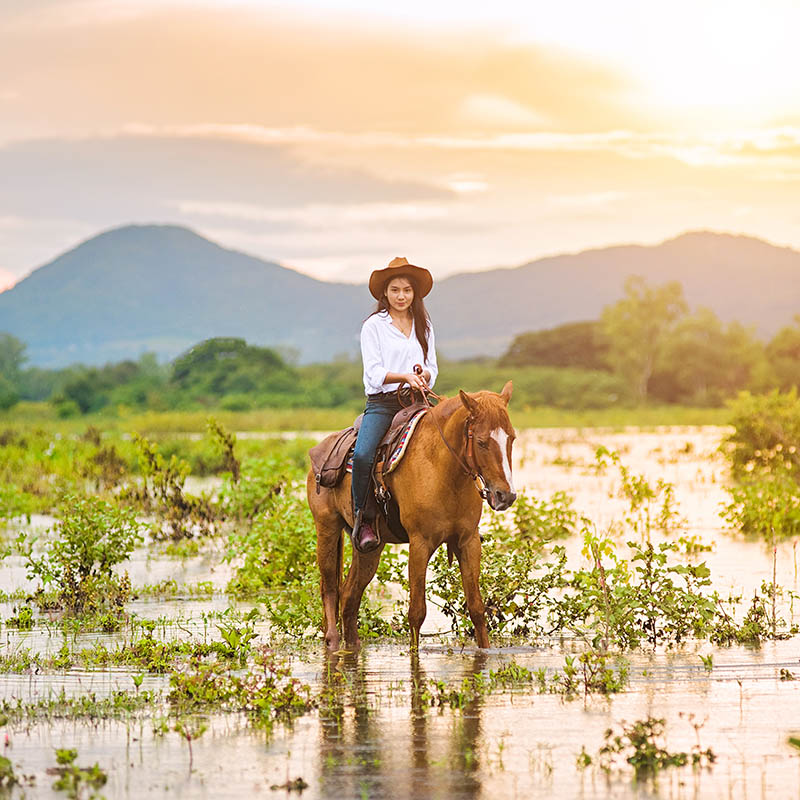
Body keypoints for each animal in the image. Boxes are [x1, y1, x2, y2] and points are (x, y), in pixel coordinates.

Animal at [306, 382, 520, 648]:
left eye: (511, 438)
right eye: (481, 442)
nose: (505, 496)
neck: (442, 469)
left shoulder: (468, 542)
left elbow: (477, 609)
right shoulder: (420, 543)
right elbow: (417, 612)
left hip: (369, 548)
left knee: (349, 595)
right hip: (327, 529)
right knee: (329, 588)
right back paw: (333, 641)